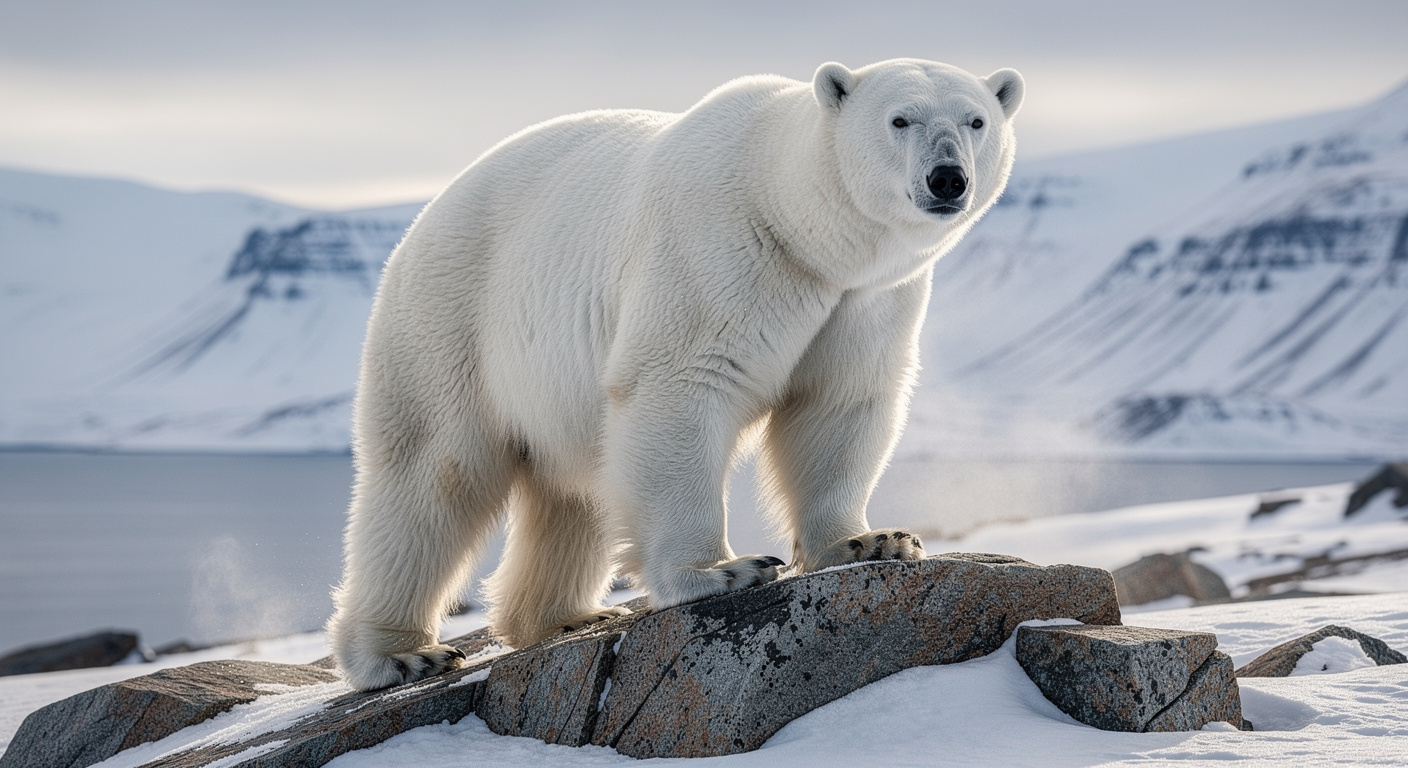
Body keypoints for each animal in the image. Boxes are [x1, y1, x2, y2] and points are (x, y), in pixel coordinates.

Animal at [329, 58, 1024, 691]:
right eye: (900, 119)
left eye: (976, 120)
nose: (947, 178)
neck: (799, 225)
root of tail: (423, 219)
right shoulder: (718, 253)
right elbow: (682, 384)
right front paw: (723, 571)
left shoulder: (868, 299)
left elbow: (839, 404)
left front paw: (871, 542)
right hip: (455, 320)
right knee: (433, 474)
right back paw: (400, 656)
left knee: (574, 488)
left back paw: (566, 617)